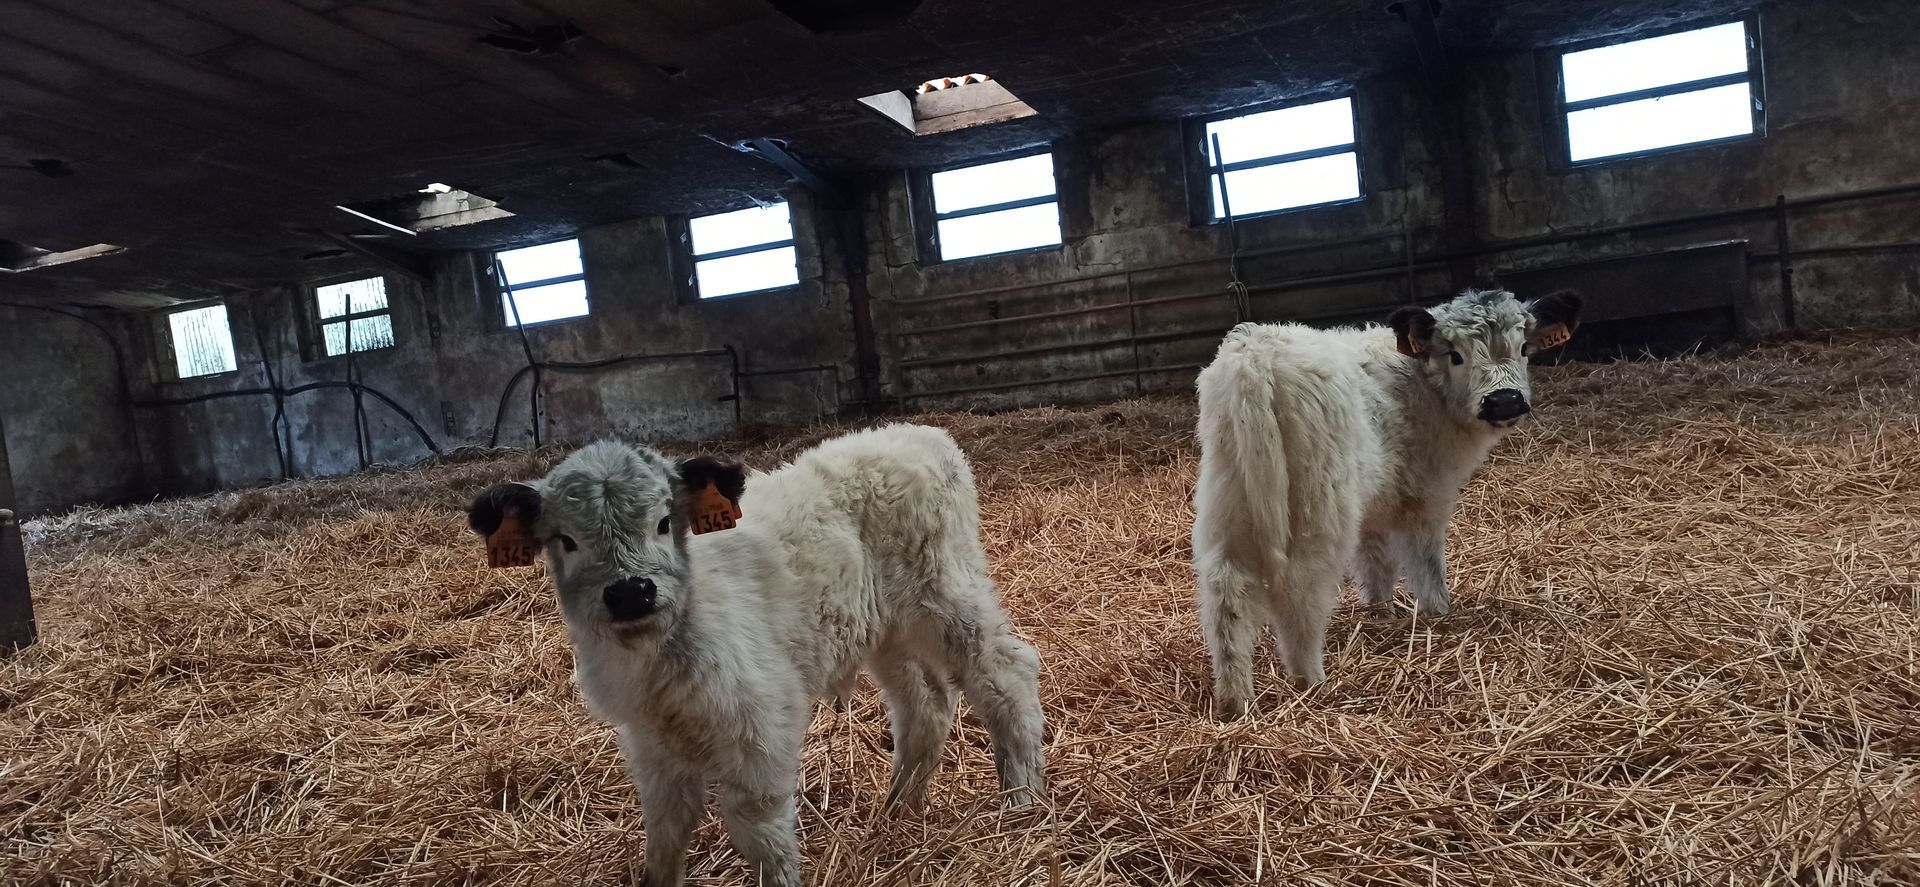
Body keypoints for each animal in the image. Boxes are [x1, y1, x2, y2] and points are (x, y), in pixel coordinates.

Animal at [467, 424, 1047, 887]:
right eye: (566, 540)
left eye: (663, 522)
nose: (631, 592)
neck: (661, 657)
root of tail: (925, 434)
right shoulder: (649, 742)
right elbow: (665, 832)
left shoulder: (759, 728)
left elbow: (760, 835)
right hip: (887, 632)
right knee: (926, 704)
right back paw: (897, 813)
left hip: (949, 594)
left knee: (1007, 675)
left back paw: (1022, 805)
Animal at [1192, 288, 1582, 719]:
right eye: (1455, 355)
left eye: (1524, 347)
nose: (1505, 401)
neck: (1421, 384)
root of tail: (1254, 357)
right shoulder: (1426, 498)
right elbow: (1426, 564)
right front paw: (1439, 613)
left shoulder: (1375, 506)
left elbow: (1374, 560)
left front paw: (1381, 613)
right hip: (1319, 507)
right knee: (1300, 587)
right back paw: (1310, 681)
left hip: (1228, 502)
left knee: (1225, 590)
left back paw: (1234, 699)